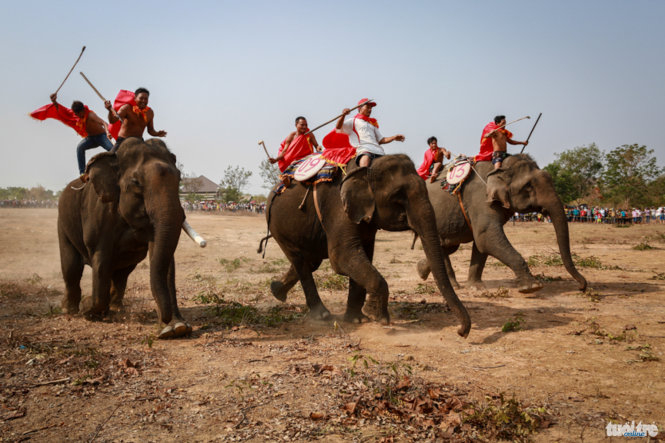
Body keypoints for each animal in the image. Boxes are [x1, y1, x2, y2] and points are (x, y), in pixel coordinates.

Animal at [56, 139, 192, 340]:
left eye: (179, 178)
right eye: (136, 183)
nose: (165, 320)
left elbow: (164, 262)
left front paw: (176, 328)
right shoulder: (98, 213)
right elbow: (100, 258)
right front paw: (90, 309)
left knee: (121, 273)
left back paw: (115, 307)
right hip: (62, 223)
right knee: (71, 266)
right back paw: (70, 309)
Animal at [262, 154, 470, 338]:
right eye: (398, 197)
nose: (461, 332)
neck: (367, 167)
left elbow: (363, 255)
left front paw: (358, 319)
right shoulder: (338, 206)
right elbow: (342, 257)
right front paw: (377, 316)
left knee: (310, 261)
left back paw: (276, 290)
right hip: (279, 226)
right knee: (301, 262)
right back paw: (321, 315)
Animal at [416, 154, 588, 294]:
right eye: (528, 186)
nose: (582, 287)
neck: (499, 167)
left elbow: (481, 244)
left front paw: (476, 287)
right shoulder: (480, 199)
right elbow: (486, 237)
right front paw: (532, 287)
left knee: (447, 246)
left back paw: (422, 271)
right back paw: (452, 285)